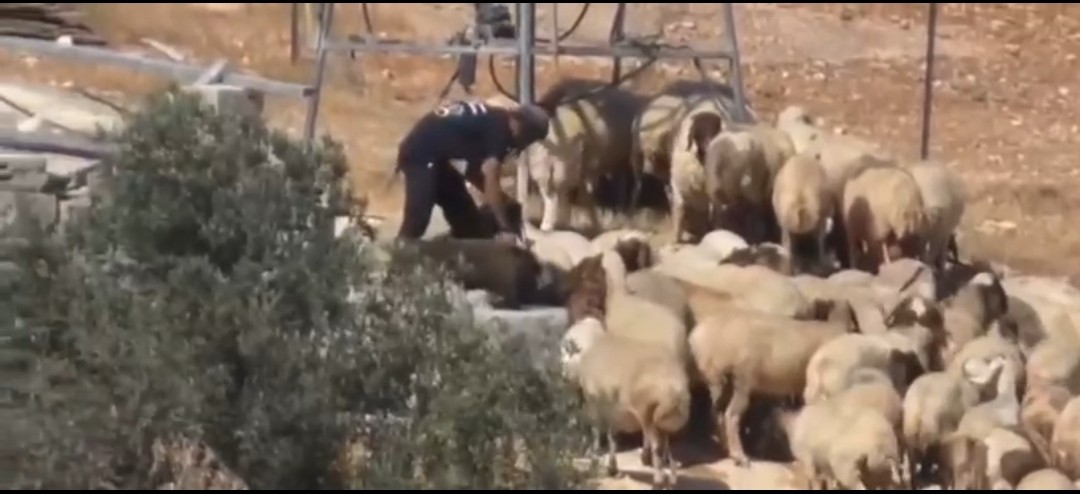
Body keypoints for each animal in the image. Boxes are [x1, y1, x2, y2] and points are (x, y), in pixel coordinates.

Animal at [559, 316, 691, 488]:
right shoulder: (612, 409)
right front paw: (612, 467)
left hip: (648, 413)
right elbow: (612, 436)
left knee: (657, 447)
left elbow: (597, 433)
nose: (563, 378)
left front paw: (595, 460)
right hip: (664, 420)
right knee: (664, 447)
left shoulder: (595, 403)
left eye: (566, 353)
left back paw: (657, 479)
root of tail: (676, 387)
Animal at [688, 300, 859, 465]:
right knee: (731, 415)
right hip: (741, 380)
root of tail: (697, 337)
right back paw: (740, 456)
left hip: (723, 383)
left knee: (718, 414)